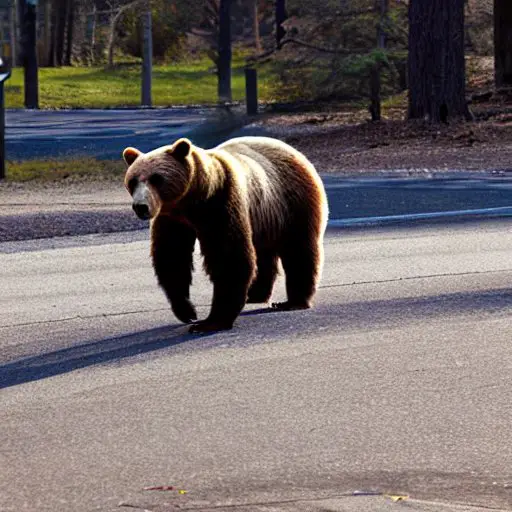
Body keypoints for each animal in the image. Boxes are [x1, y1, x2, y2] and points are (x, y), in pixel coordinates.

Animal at [125, 135, 328, 332]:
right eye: (132, 180)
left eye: (156, 178)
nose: (141, 207)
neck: (193, 202)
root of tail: (295, 151)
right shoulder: (171, 218)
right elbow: (172, 257)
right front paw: (187, 311)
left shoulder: (222, 204)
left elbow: (228, 258)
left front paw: (210, 322)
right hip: (263, 216)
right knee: (263, 254)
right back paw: (256, 294)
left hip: (292, 202)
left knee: (299, 249)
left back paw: (292, 301)